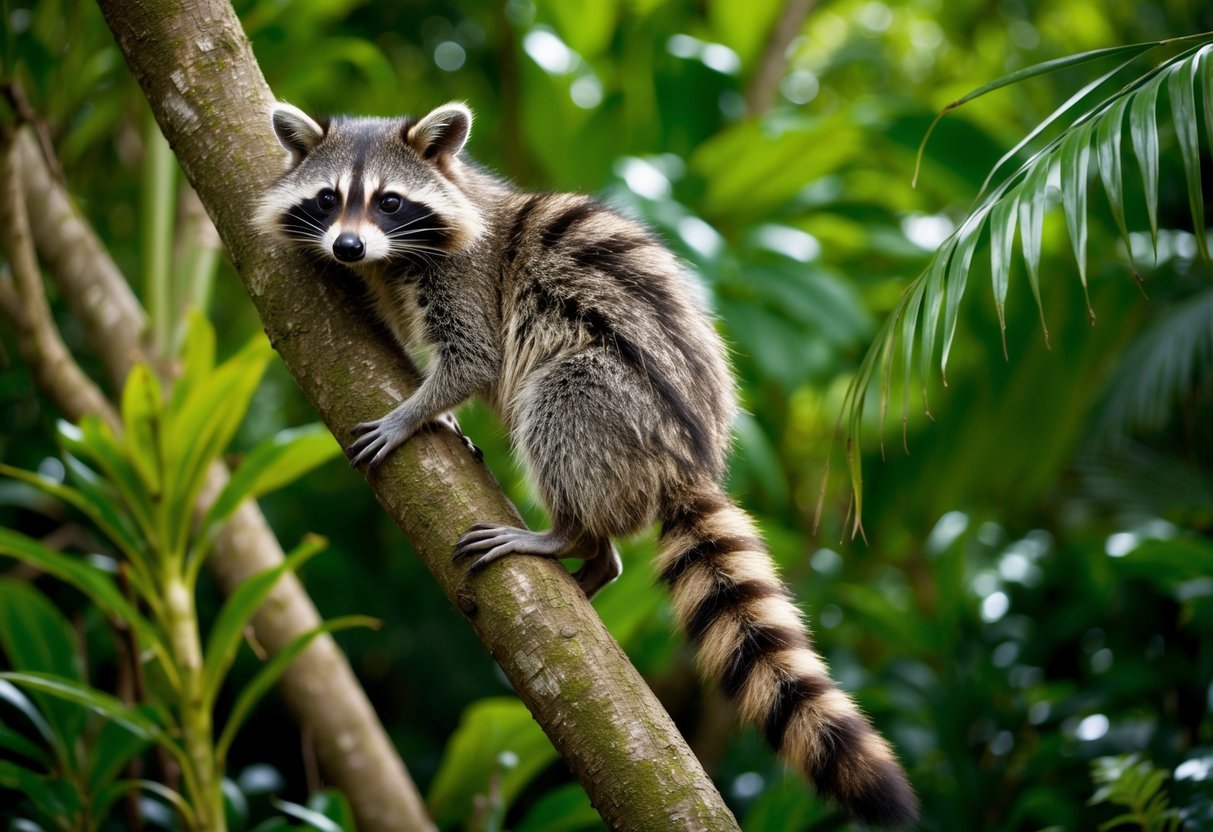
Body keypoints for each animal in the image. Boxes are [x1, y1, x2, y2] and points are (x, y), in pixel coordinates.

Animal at [256, 101, 918, 829]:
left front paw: (414, 412)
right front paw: (438, 412)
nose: (347, 248)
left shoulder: (465, 279)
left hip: (614, 403)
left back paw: (566, 534)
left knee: (554, 402)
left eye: (389, 201)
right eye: (328, 199)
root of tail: (687, 460)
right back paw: (595, 560)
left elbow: (473, 360)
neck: (397, 252)